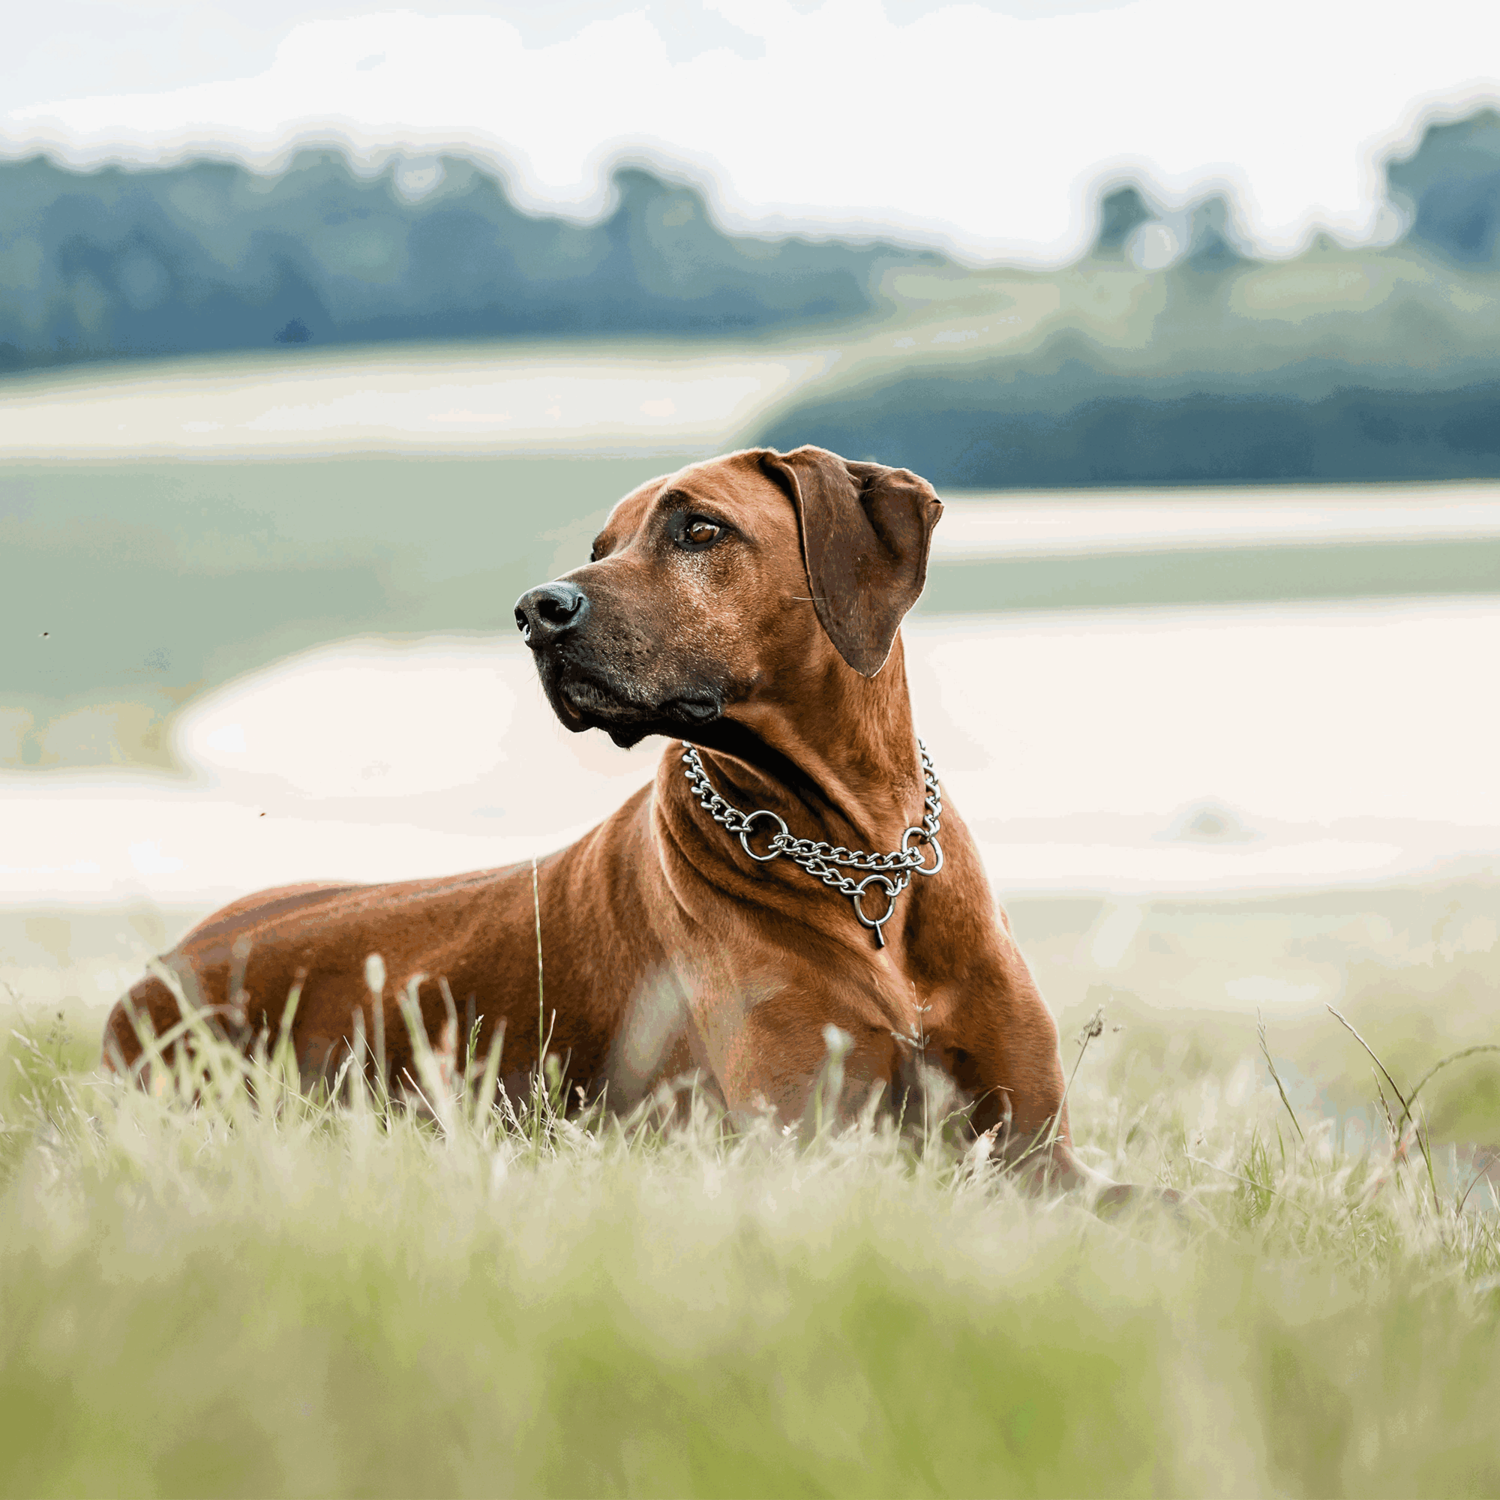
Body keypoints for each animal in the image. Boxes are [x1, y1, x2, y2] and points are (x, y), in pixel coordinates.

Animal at [99, 444, 1104, 1182]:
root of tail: (150, 974)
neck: (858, 863)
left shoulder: (1041, 1155)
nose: (535, 611)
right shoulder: (811, 1143)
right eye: (602, 545)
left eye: (700, 529)